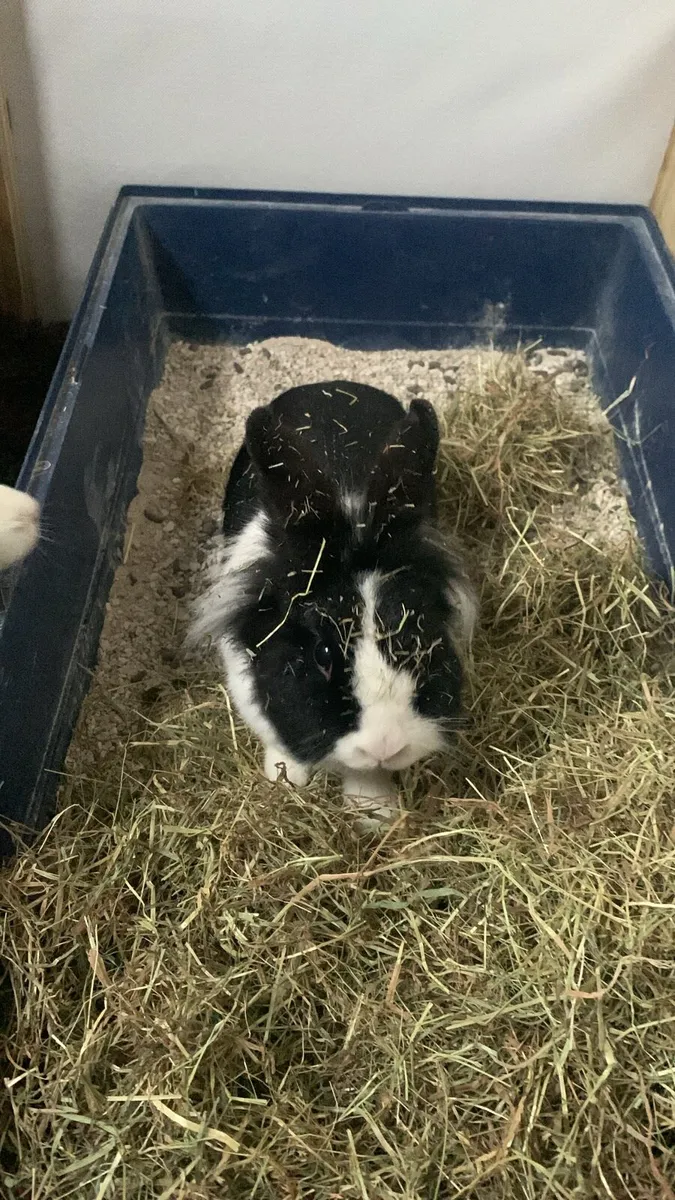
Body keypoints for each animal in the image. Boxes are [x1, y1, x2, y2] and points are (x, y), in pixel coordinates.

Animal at [191, 380, 477, 822]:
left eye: (422, 636)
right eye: (323, 653)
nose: (385, 746)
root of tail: (332, 385)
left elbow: (365, 776)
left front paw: (376, 814)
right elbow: (281, 747)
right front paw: (285, 781)